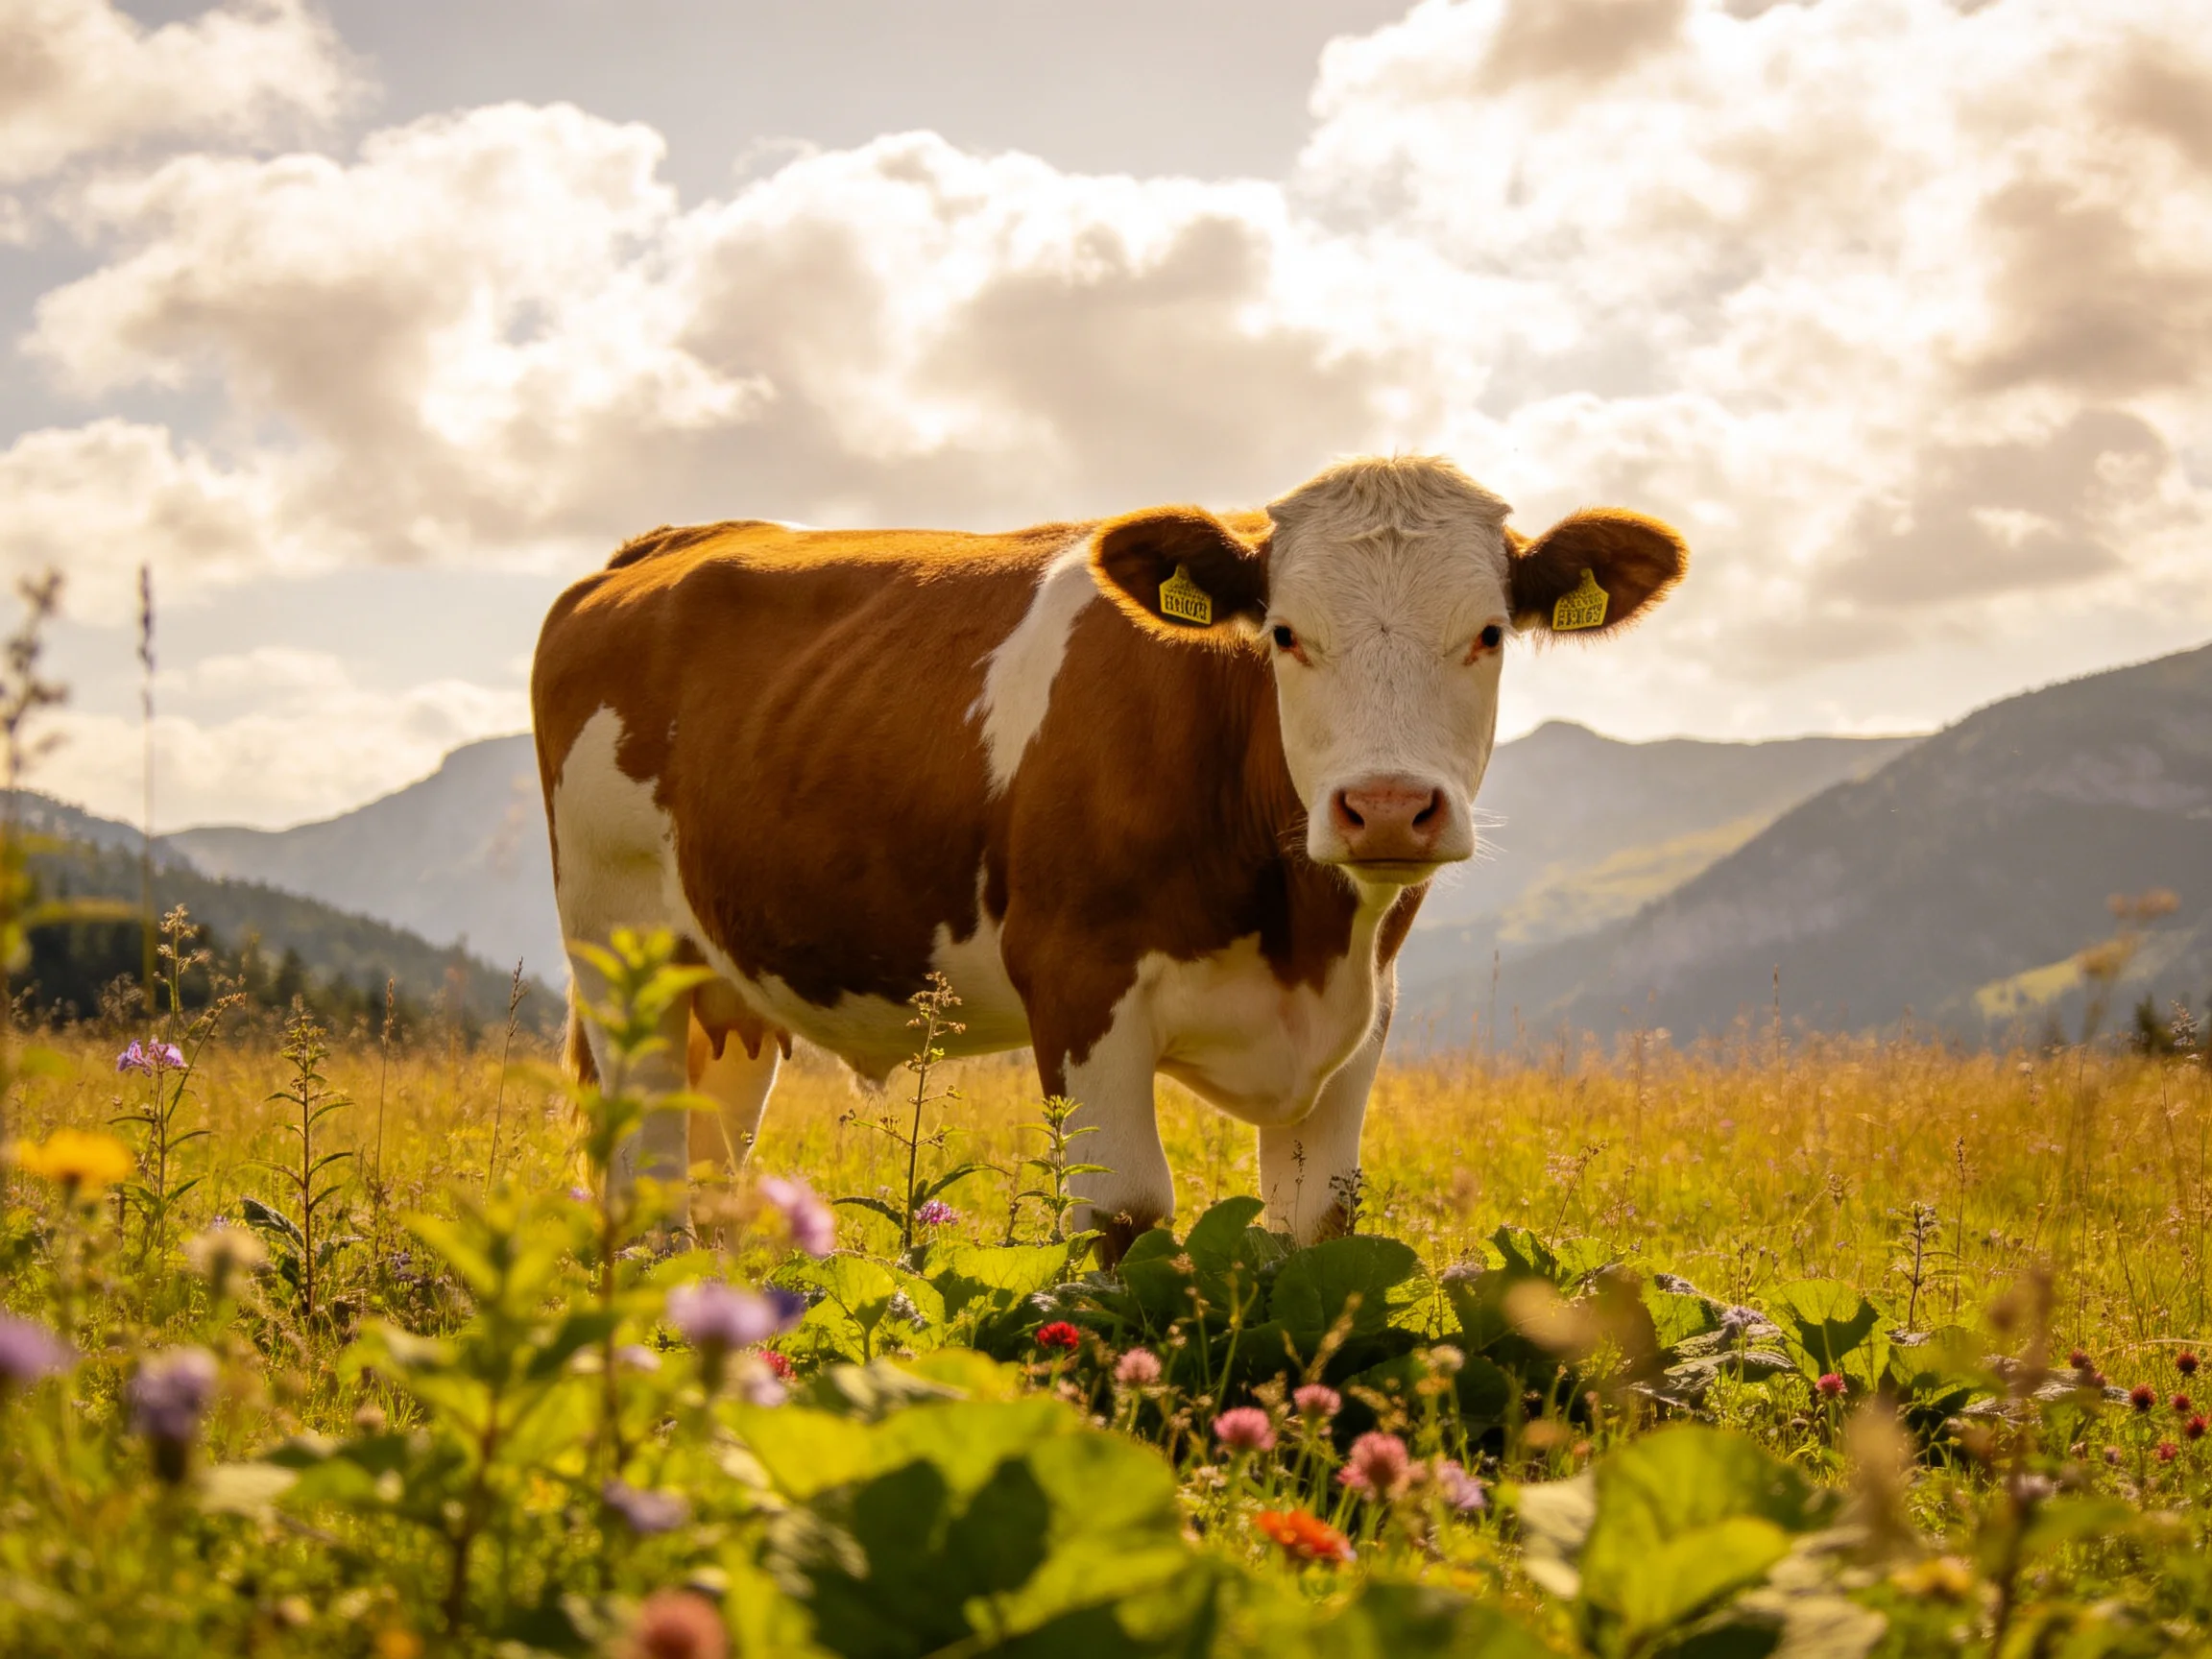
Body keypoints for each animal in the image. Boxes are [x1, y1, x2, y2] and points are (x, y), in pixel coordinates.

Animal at [531, 454, 1686, 1256]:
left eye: (1489, 633)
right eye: (1284, 634)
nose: (1389, 809)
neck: (1303, 935)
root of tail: (667, 543)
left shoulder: (1366, 1013)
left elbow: (1317, 1226)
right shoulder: (1080, 977)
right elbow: (1122, 1213)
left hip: (724, 991)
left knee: (710, 1166)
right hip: (617, 951)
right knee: (643, 1174)